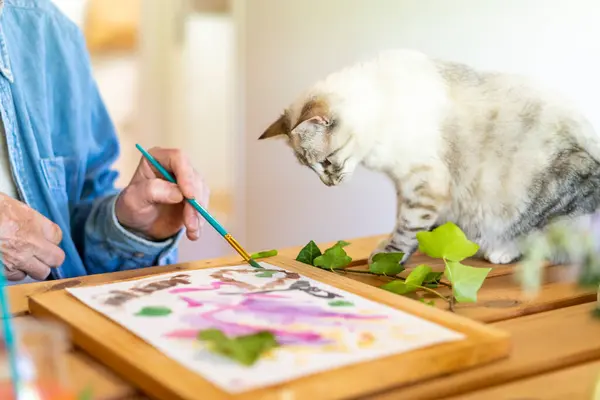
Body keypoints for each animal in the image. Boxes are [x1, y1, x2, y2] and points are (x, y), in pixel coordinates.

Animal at [255, 48, 600, 266]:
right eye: (311, 169)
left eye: (326, 161)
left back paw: (500, 250)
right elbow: (405, 221)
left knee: (546, 241)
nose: (329, 184)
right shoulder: (405, 184)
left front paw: (387, 257)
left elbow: (406, 227)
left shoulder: (422, 181)